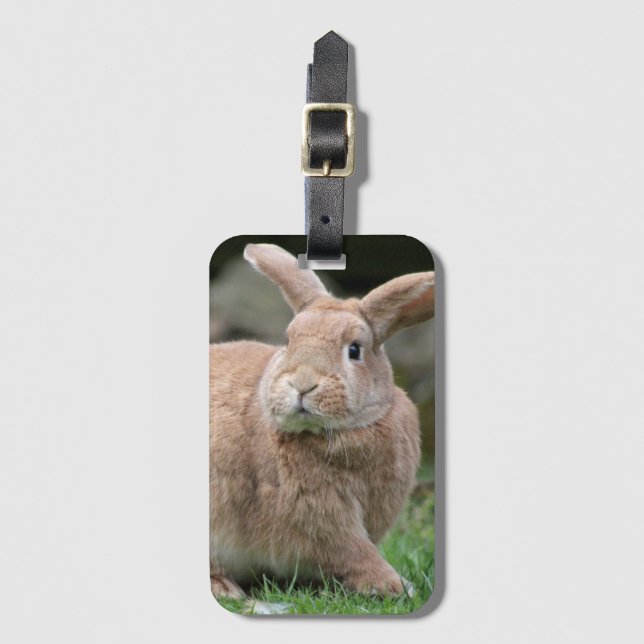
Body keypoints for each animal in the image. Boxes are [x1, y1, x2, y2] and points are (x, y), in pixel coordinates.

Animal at [210, 243, 435, 599]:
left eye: (354, 350)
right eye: (289, 341)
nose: (302, 384)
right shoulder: (318, 515)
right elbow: (353, 551)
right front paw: (395, 585)